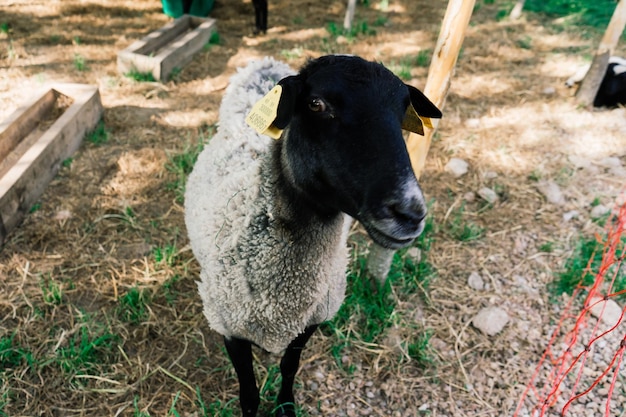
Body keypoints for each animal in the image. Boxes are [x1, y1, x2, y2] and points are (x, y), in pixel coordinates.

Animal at [183, 55, 442, 416]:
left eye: (403, 111)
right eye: (316, 104)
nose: (410, 213)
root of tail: (262, 66)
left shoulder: (311, 321)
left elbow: (289, 367)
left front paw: (286, 406)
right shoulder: (229, 326)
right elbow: (248, 392)